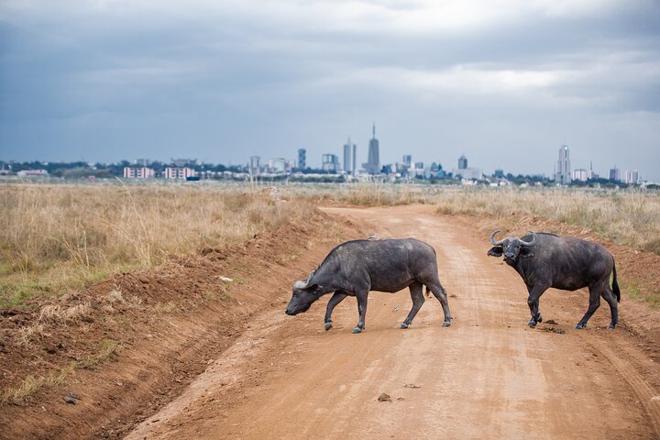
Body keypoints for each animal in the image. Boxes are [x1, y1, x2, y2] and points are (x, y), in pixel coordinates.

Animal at [286, 237, 452, 334]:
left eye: (297, 294)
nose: (287, 310)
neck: (340, 264)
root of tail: (430, 247)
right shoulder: (342, 291)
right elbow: (330, 304)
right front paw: (327, 323)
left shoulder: (362, 289)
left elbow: (361, 308)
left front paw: (359, 326)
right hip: (414, 283)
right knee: (418, 301)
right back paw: (405, 323)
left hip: (429, 278)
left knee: (441, 294)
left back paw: (447, 320)